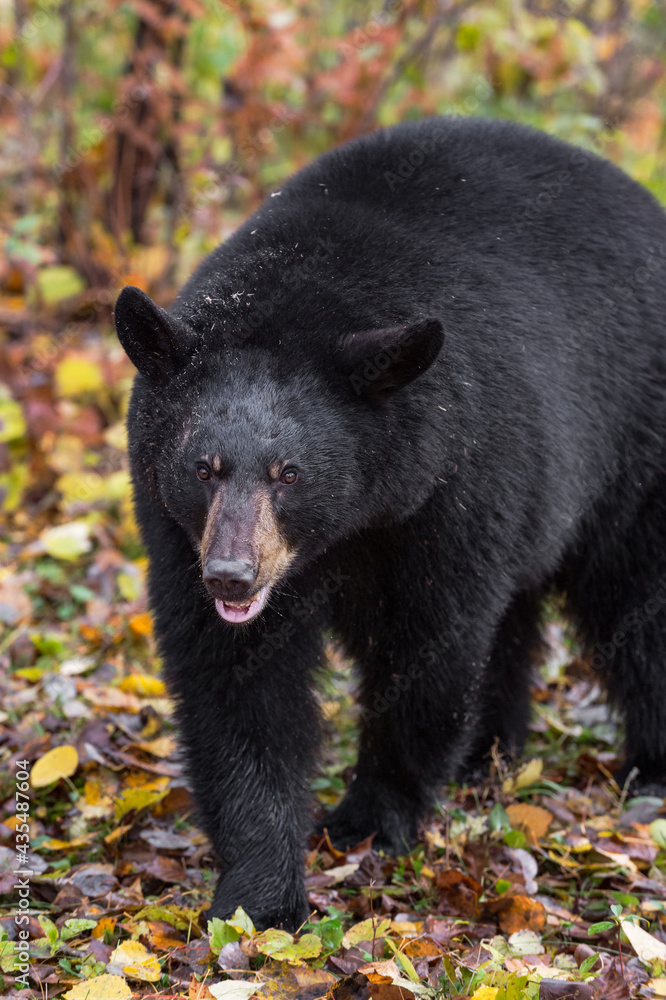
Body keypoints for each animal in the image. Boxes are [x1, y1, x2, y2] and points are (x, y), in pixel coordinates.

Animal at [114, 116, 666, 932]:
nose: (232, 576)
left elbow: (427, 651)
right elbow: (236, 684)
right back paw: (489, 755)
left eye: (290, 473)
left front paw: (368, 820)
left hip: (632, 447)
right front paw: (260, 895)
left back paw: (651, 767)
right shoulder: (179, 535)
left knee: (634, 600)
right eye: (203, 467)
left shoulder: (454, 484)